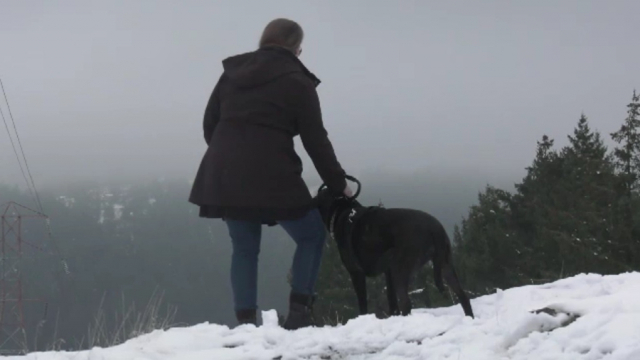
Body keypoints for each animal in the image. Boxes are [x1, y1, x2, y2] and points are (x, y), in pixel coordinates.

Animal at [312, 181, 472, 320]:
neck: (342, 211)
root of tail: (434, 229)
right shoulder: (387, 273)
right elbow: (392, 302)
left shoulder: (356, 273)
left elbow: (363, 305)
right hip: (445, 264)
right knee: (463, 295)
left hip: (401, 269)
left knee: (406, 303)